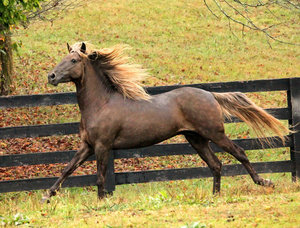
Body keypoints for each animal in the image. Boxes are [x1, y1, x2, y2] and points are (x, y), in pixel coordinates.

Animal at [43, 41, 290, 201]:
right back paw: (215, 196)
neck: (101, 103)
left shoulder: (103, 146)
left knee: (239, 152)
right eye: (63, 58)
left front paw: (102, 202)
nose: (51, 76)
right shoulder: (87, 145)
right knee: (216, 164)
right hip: (196, 139)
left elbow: (100, 177)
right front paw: (47, 195)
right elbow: (67, 169)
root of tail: (210, 94)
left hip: (214, 133)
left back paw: (264, 182)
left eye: (73, 60)